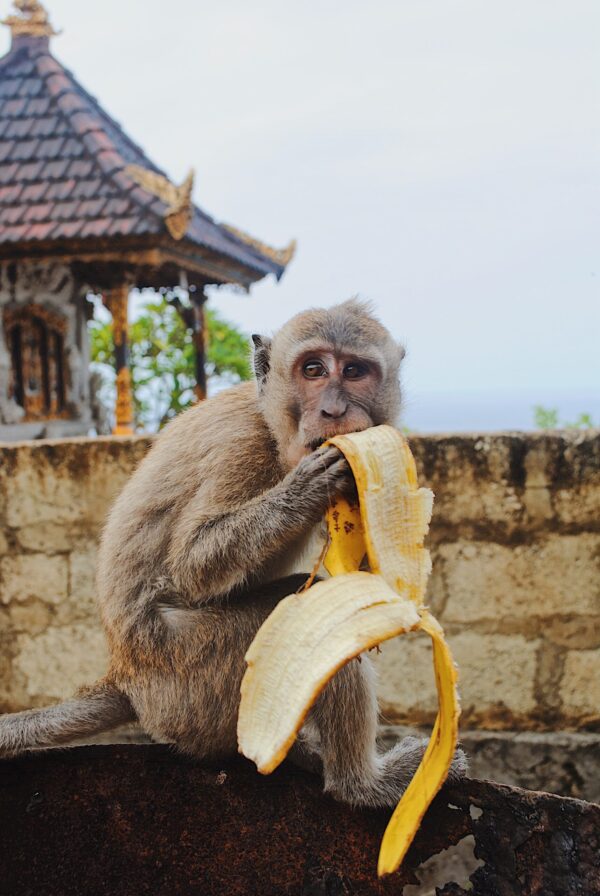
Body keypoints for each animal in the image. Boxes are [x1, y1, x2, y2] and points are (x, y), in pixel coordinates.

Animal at [0, 300, 466, 804]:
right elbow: (193, 561)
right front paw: (310, 486)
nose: (333, 409)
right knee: (314, 616)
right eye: (314, 369)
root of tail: (125, 677)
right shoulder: (242, 447)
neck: (275, 427)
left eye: (355, 371)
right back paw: (362, 784)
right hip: (190, 676)